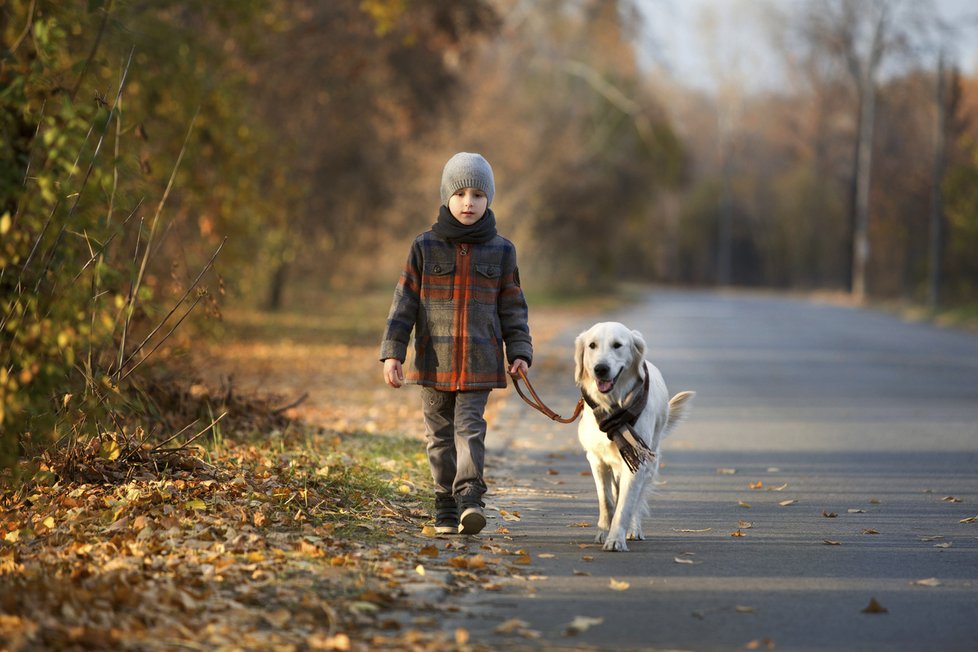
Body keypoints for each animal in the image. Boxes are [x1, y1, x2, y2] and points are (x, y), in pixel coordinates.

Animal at [572, 320, 692, 552]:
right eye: (592, 345)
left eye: (617, 345)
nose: (601, 369)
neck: (613, 406)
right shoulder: (596, 459)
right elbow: (606, 500)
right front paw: (603, 531)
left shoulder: (637, 458)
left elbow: (626, 505)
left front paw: (615, 539)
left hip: (650, 460)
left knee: (637, 499)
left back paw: (634, 529)